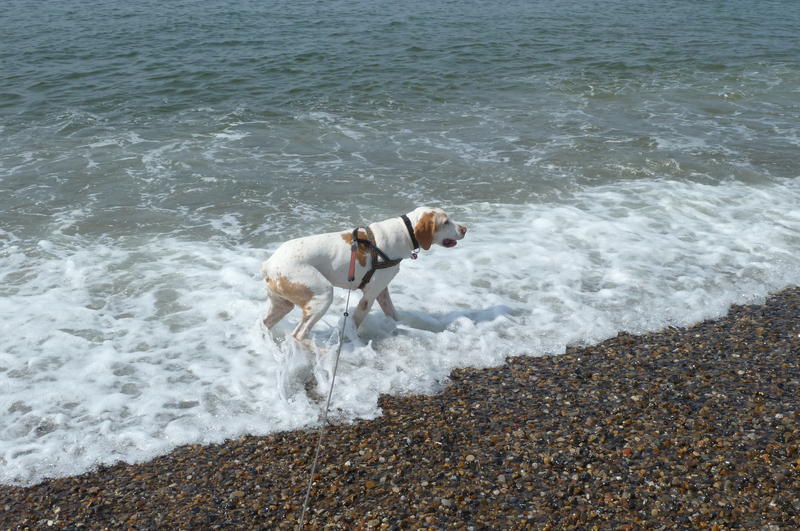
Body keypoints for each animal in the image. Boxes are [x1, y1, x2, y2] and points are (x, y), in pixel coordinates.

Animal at [260, 208, 466, 340]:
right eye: (446, 222)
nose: (465, 229)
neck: (404, 233)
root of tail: (268, 264)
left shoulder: (382, 292)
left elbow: (393, 314)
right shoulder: (369, 296)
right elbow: (356, 321)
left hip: (283, 305)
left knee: (266, 323)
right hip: (323, 296)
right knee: (298, 335)